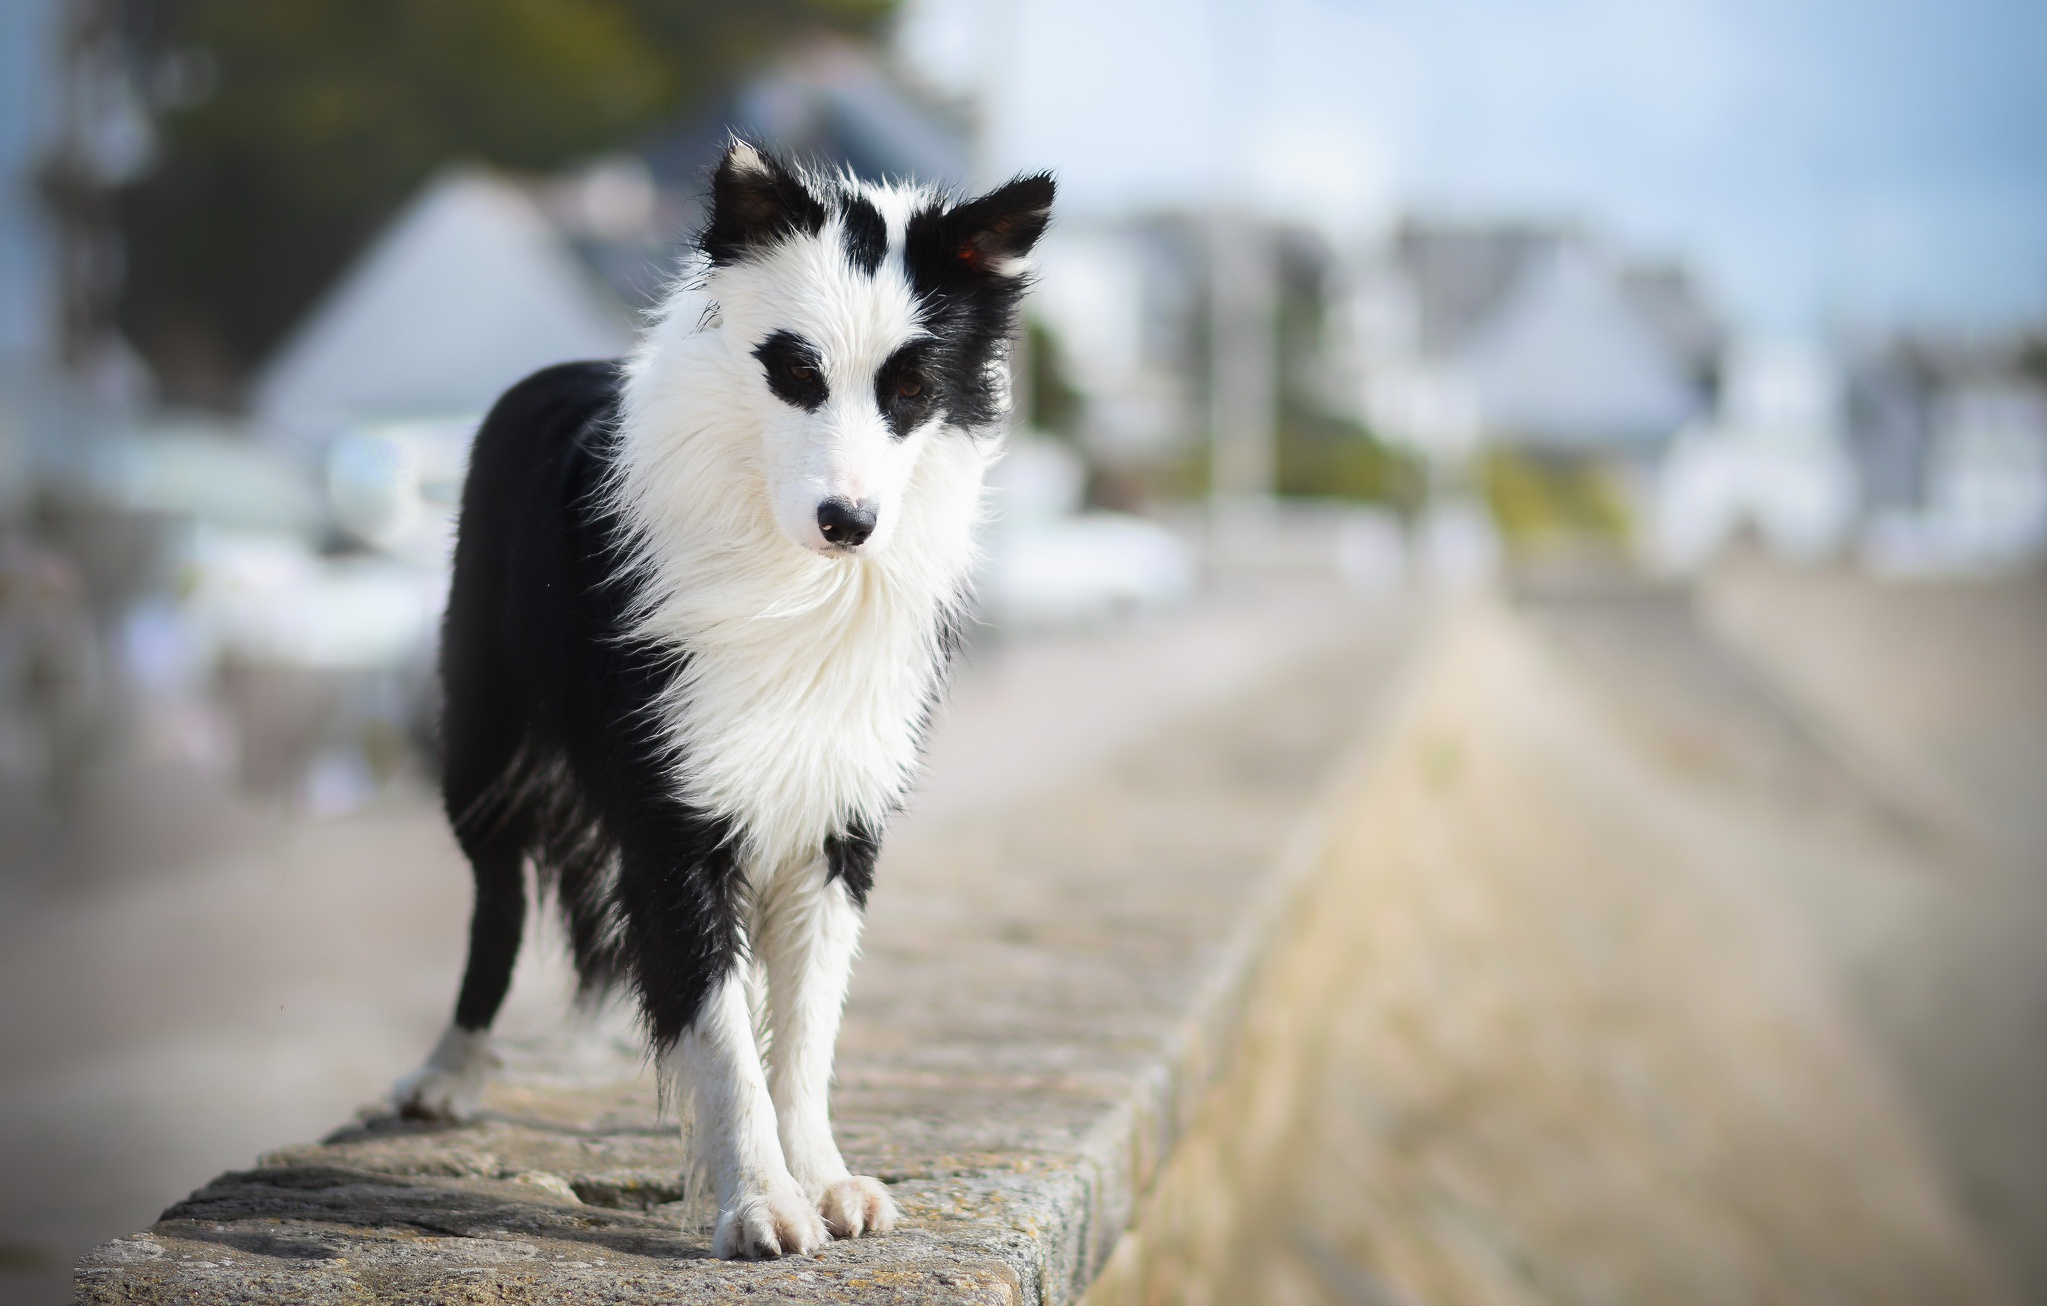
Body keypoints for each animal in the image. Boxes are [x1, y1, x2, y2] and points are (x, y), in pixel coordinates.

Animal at [390, 141, 1056, 1260]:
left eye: (911, 388)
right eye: (796, 372)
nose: (849, 521)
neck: (792, 573)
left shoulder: (839, 813)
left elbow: (802, 1028)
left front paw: (819, 1177)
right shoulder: (671, 809)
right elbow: (717, 1028)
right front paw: (758, 1201)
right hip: (480, 744)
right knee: (497, 901)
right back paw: (445, 1073)